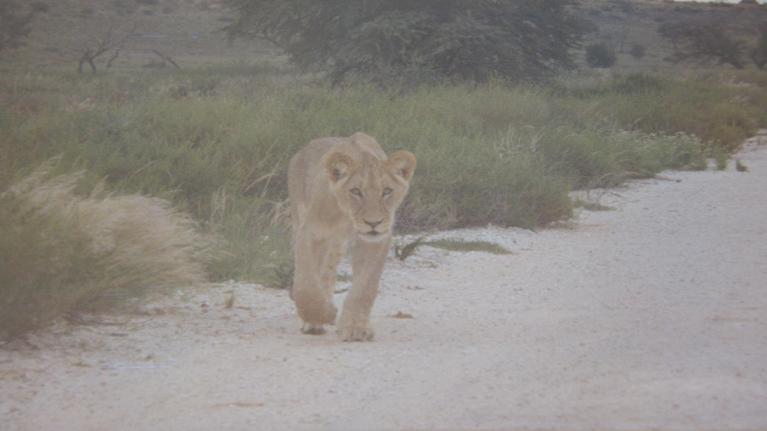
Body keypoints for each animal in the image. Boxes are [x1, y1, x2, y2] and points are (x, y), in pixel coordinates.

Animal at [288, 133, 416, 342]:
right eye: (356, 191)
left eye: (387, 191)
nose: (373, 223)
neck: (348, 218)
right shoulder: (311, 232)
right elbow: (305, 285)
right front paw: (323, 315)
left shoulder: (375, 241)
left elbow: (364, 288)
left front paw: (356, 328)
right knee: (319, 275)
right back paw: (315, 320)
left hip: (336, 244)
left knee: (328, 273)